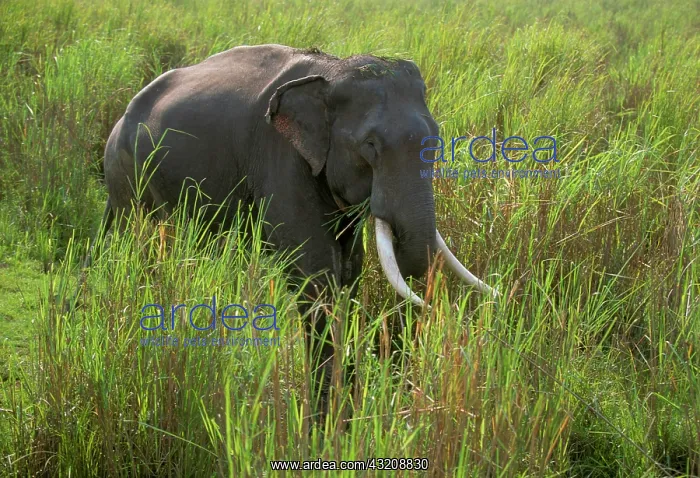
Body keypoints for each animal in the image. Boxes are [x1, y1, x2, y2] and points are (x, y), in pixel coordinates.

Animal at [97, 43, 498, 418]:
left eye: (436, 139)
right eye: (370, 146)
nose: (433, 306)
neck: (331, 72)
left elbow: (348, 272)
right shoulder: (282, 160)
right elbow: (316, 277)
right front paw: (328, 420)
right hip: (127, 172)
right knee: (143, 245)